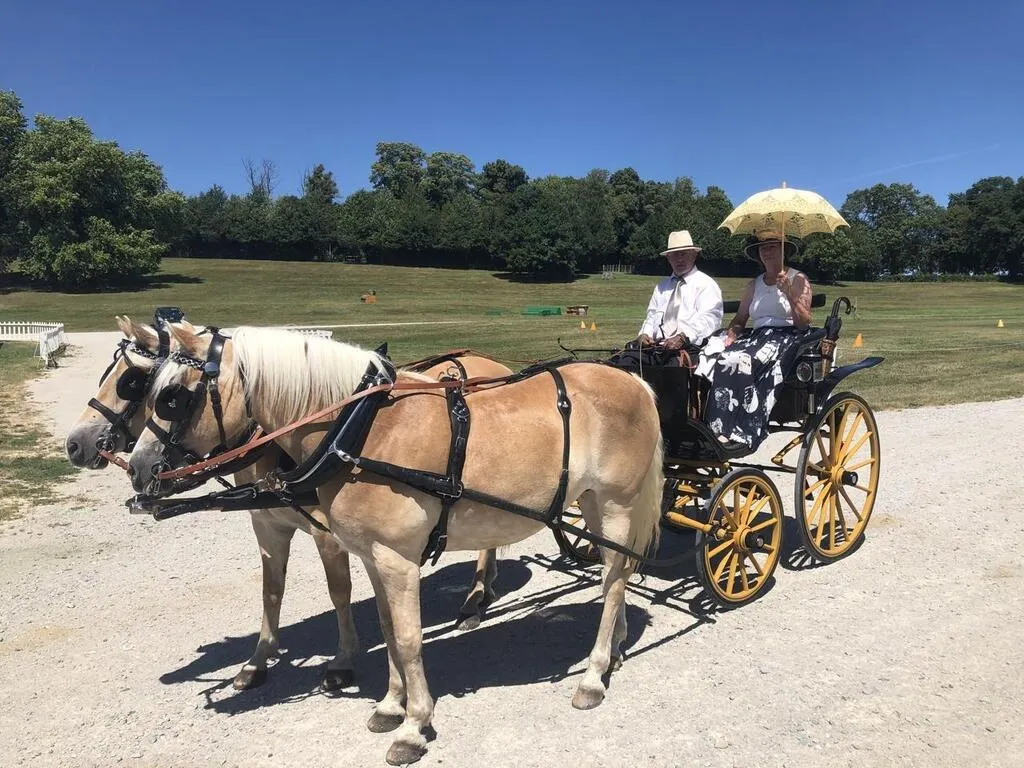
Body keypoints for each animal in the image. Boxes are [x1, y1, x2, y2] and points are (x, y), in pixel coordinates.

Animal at [65, 316, 512, 692]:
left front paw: (342, 661)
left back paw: (475, 598)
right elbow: (271, 592)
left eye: (138, 383)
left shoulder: (327, 533)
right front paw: (256, 663)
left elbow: (339, 591)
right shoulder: (267, 525)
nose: (75, 444)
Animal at [126, 323, 664, 766]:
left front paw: (413, 724)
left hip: (617, 505)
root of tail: (634, 381)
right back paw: (615, 648)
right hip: (592, 505)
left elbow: (407, 638)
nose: (137, 466)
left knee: (614, 581)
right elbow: (385, 628)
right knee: (617, 576)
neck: (359, 431)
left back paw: (593, 674)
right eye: (147, 387)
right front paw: (389, 705)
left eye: (172, 395)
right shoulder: (370, 557)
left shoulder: (398, 559)